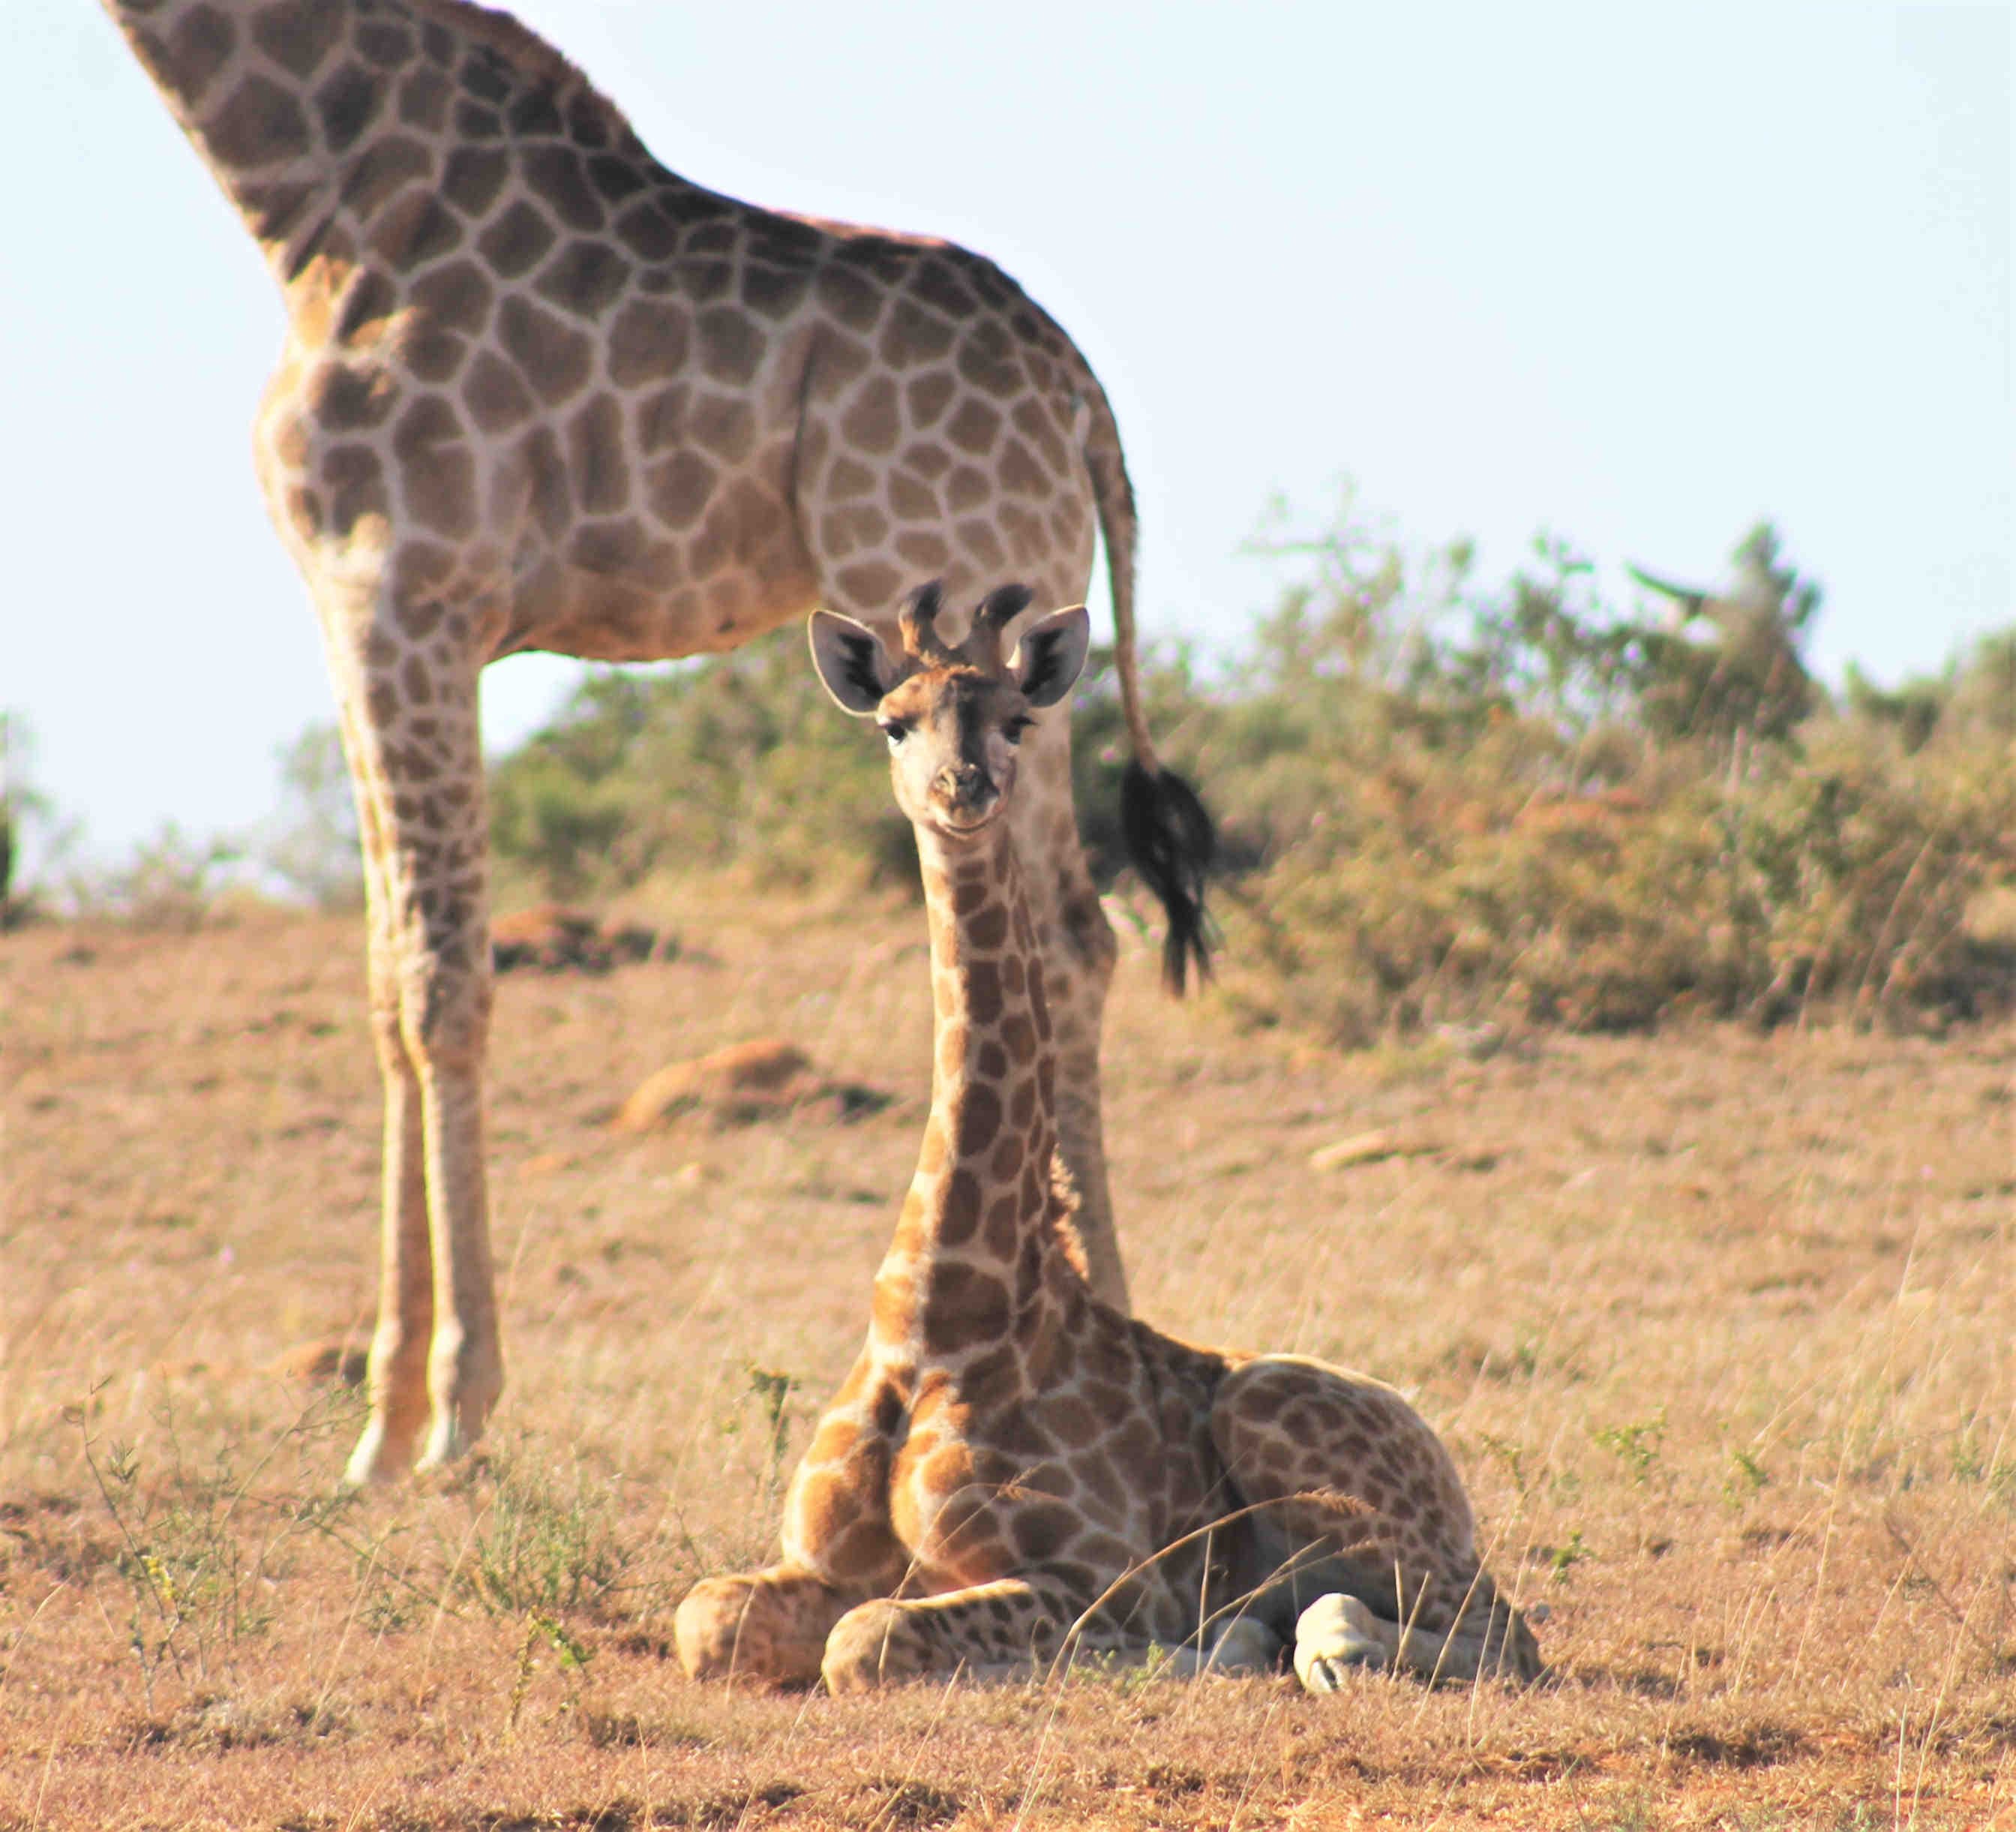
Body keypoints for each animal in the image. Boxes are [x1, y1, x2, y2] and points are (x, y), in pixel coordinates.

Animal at [98, 0, 1213, 1483]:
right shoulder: (344, 614)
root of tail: (1081, 394)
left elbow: (443, 979)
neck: (319, 196)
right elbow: (387, 979)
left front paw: (447, 1413)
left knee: (1062, 937)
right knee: (1084, 934)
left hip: (963, 593)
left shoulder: (410, 593)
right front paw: (383, 1424)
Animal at [672, 584, 1541, 1693]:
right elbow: (709, 1616)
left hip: (1299, 1439)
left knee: (1503, 1634)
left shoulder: (1099, 1578)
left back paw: (1309, 1645)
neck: (937, 1316)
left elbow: (868, 1639)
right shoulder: (808, 1561)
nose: (963, 787)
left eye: (1016, 720)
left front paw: (1183, 1651)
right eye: (893, 722)